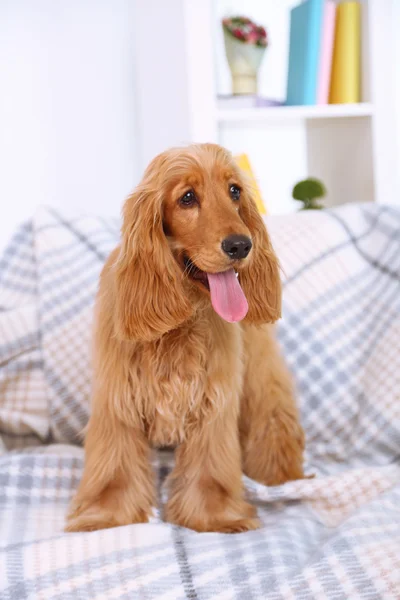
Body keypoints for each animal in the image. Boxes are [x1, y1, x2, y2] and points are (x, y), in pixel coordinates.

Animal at [65, 142, 304, 536]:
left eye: (234, 190)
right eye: (187, 198)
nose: (241, 245)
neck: (180, 321)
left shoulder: (213, 397)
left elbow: (210, 466)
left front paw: (215, 515)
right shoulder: (118, 397)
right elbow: (115, 465)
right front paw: (106, 516)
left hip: (258, 370)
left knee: (273, 416)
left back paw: (283, 477)